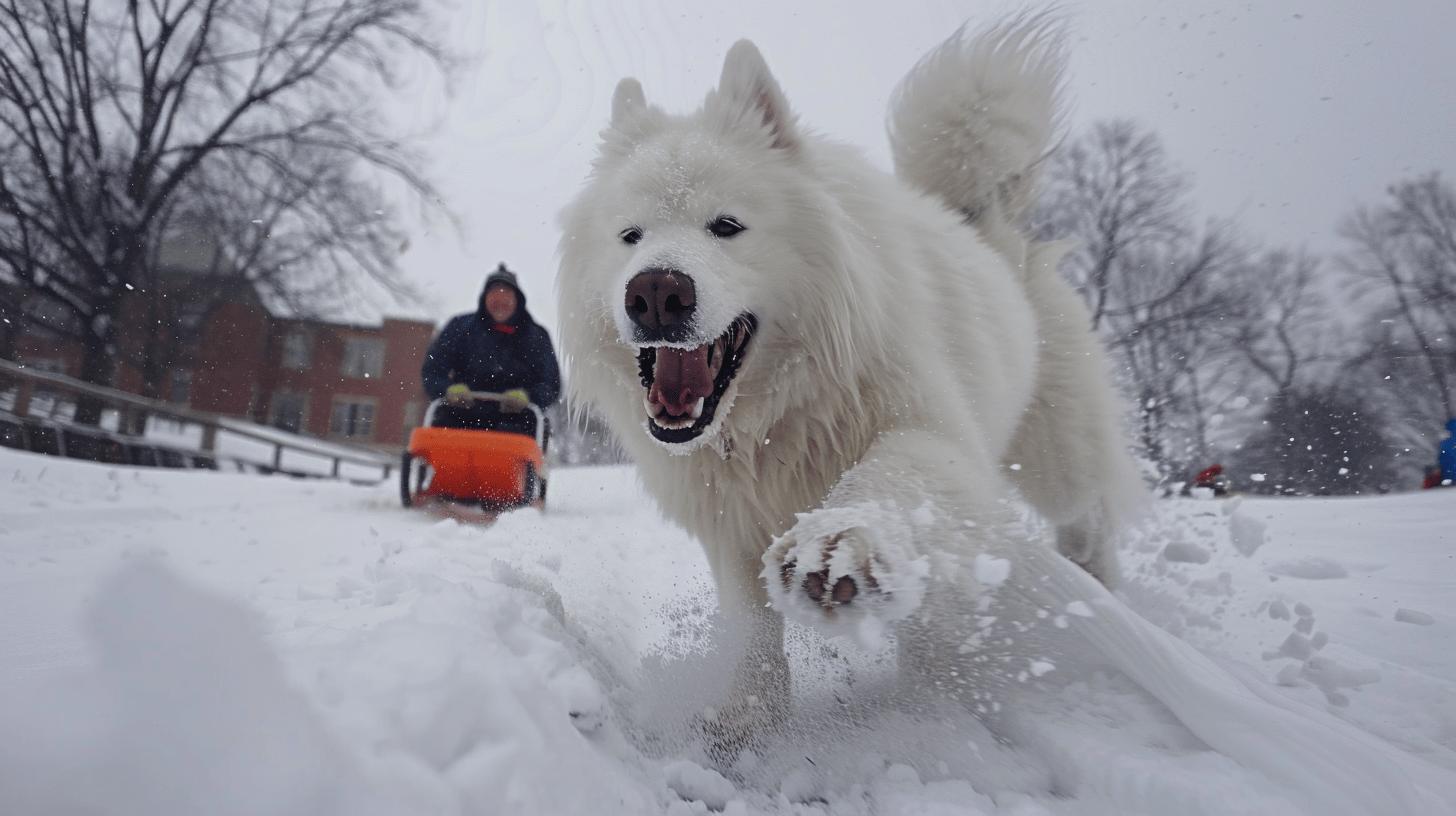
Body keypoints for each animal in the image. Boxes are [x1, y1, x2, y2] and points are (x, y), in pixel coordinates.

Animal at [553, 14, 1135, 751]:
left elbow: (884, 475)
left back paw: (1098, 594)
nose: (655, 292)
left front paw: (836, 547)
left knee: (1089, 513)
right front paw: (749, 717)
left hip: (1058, 452)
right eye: (630, 236)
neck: (771, 418)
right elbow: (751, 623)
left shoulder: (931, 433)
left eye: (727, 226)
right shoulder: (730, 520)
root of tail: (985, 227)